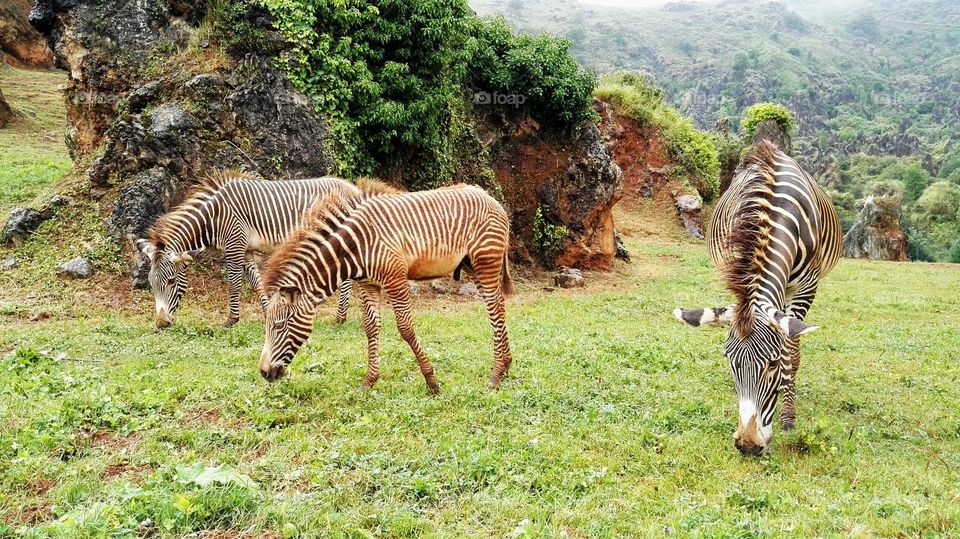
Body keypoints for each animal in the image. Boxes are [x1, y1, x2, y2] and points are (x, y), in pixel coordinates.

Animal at [135, 171, 358, 329]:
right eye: (151, 283)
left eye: (171, 282)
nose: (161, 324)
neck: (214, 218)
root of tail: (352, 187)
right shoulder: (247, 251)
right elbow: (256, 283)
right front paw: (269, 314)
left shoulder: (234, 245)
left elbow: (234, 283)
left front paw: (231, 320)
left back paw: (340, 317)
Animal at [257, 182, 513, 394]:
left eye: (279, 326)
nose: (263, 372)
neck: (356, 247)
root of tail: (488, 196)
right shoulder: (368, 284)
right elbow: (370, 327)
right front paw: (368, 382)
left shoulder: (395, 280)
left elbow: (406, 329)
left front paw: (431, 381)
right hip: (472, 264)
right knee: (497, 305)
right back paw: (505, 366)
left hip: (486, 261)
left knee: (494, 307)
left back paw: (496, 375)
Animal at [674, 141, 842, 455]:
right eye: (729, 359)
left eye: (772, 364)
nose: (748, 445)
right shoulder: (735, 274)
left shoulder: (806, 288)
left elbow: (791, 352)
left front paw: (788, 417)